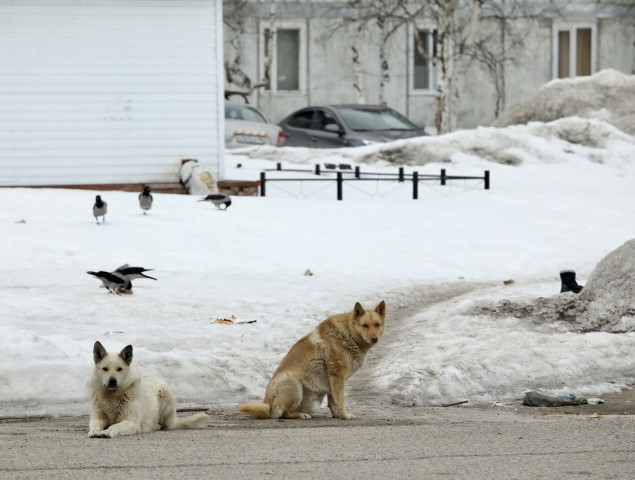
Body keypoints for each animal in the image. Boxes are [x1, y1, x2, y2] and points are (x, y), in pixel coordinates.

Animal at [240, 300, 386, 420]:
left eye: (377, 324)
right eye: (365, 325)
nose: (375, 338)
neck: (349, 334)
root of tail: (267, 403)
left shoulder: (333, 380)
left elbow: (333, 402)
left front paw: (338, 416)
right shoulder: (337, 377)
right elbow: (340, 401)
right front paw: (345, 415)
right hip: (294, 384)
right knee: (279, 413)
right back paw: (300, 415)